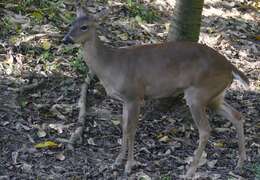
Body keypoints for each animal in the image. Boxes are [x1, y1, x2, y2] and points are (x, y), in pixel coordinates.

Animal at [62, 4, 249, 178]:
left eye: (84, 26)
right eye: (71, 23)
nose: (66, 39)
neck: (110, 65)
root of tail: (230, 67)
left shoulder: (135, 95)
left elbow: (131, 129)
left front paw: (128, 166)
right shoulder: (124, 100)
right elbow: (124, 127)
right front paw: (117, 161)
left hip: (199, 93)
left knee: (205, 130)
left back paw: (189, 171)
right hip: (215, 94)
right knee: (237, 115)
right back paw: (239, 164)